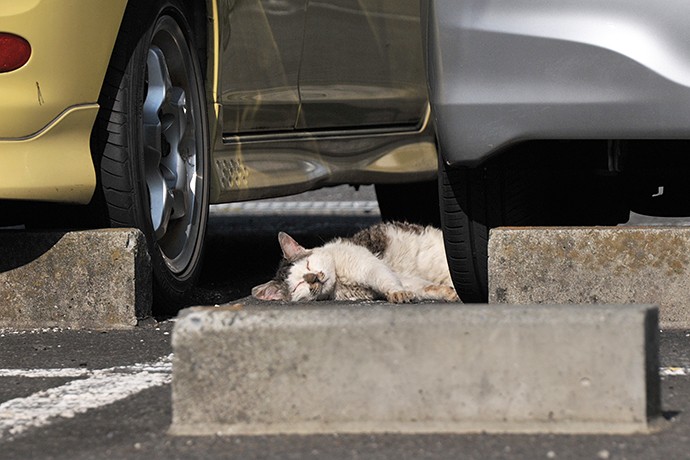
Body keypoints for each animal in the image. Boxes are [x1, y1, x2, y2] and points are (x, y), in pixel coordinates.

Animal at [251, 222, 456, 304]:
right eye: (299, 284)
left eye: (308, 265)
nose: (313, 277)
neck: (340, 282)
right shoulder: (407, 280)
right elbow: (424, 288)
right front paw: (448, 293)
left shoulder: (370, 266)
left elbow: (385, 279)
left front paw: (396, 293)